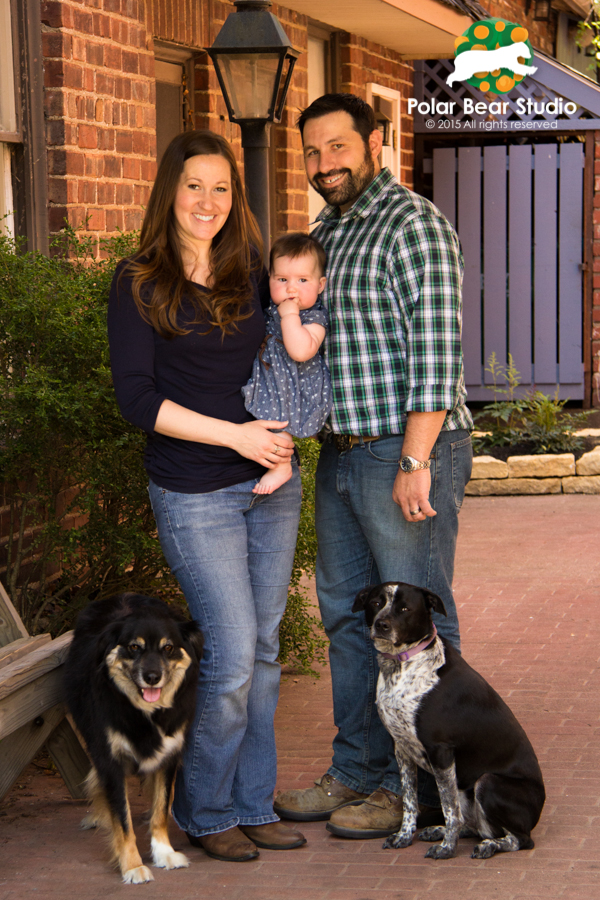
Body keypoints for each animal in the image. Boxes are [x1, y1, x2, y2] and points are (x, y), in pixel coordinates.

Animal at [64, 596, 203, 884]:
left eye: (168, 648)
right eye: (134, 647)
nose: (152, 677)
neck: (145, 712)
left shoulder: (169, 755)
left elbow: (161, 808)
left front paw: (163, 852)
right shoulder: (110, 760)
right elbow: (122, 819)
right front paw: (132, 866)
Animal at [352, 580, 544, 860]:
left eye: (405, 608)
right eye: (376, 603)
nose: (381, 624)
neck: (402, 665)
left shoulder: (441, 752)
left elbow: (449, 809)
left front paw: (446, 849)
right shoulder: (402, 749)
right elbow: (410, 802)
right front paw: (404, 836)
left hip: (487, 782)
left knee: (519, 838)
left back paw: (489, 845)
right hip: (465, 786)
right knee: (475, 825)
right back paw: (440, 831)